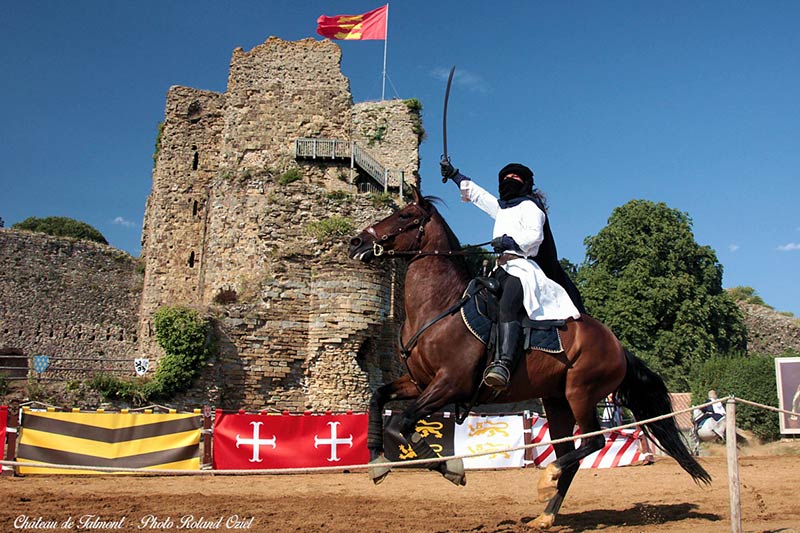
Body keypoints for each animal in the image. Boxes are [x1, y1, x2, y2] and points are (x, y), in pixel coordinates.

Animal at [346, 187, 708, 528]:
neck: (440, 307)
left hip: (580, 394)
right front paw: (377, 462)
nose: (356, 242)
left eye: (406, 216)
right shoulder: (419, 384)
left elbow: (401, 424)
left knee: (593, 441)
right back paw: (546, 514)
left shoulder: (448, 386)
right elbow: (379, 402)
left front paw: (451, 468)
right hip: (557, 402)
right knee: (571, 453)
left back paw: (548, 477)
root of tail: (617, 345)